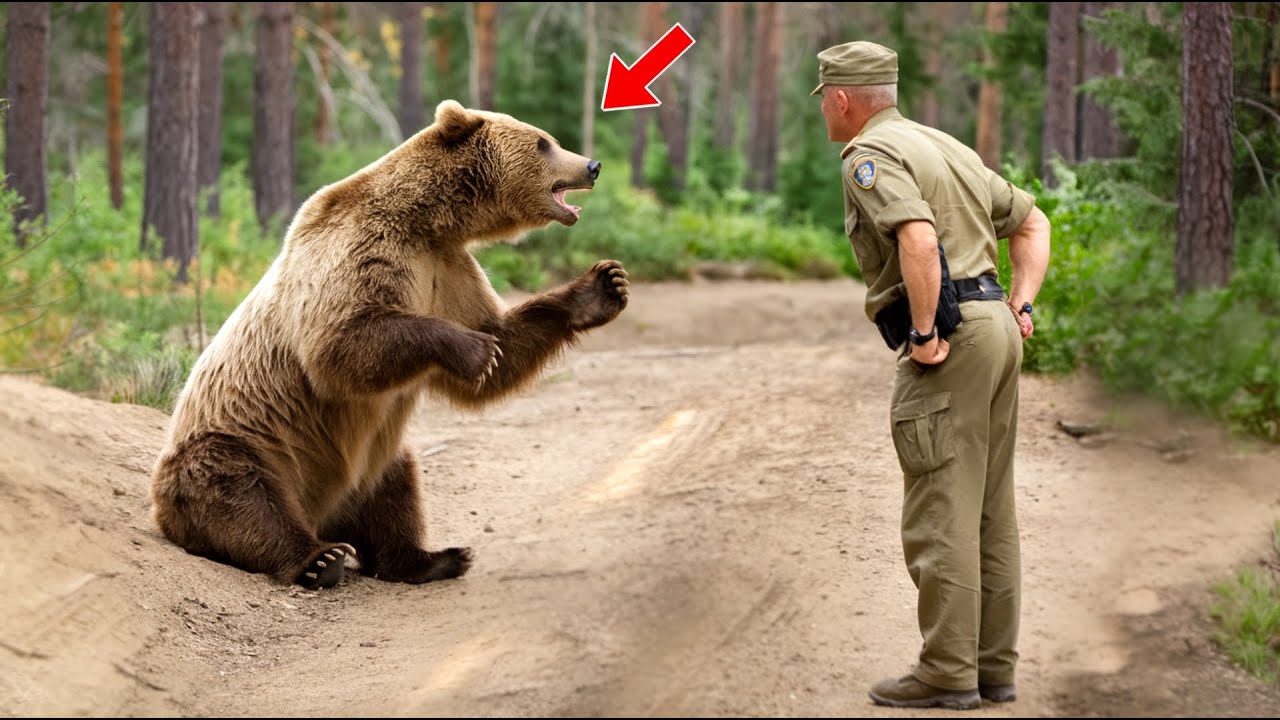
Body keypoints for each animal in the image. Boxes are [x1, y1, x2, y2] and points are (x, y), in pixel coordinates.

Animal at [150, 100, 629, 589]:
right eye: (543, 142)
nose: (592, 165)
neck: (427, 222)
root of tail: (320, 511)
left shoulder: (447, 269)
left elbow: (501, 344)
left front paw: (601, 287)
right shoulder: (362, 251)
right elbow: (339, 345)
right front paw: (473, 348)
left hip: (372, 458)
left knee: (395, 491)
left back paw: (433, 558)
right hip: (251, 441)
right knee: (244, 496)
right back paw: (319, 559)